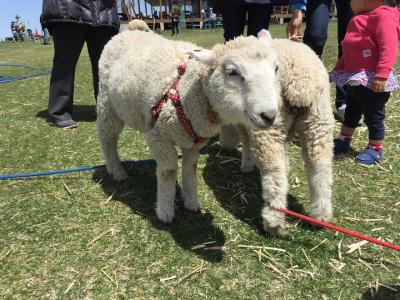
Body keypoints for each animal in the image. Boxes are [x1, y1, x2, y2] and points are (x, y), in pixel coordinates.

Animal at [97, 29, 280, 223]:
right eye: (232, 72)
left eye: (276, 68)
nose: (269, 116)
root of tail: (127, 31)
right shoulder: (158, 136)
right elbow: (169, 170)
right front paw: (165, 212)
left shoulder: (194, 142)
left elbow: (190, 169)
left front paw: (191, 201)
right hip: (107, 104)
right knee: (107, 139)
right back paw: (117, 171)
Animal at [220, 38, 332, 234]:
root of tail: (300, 82)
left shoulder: (247, 124)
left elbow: (246, 142)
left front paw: (246, 165)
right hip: (319, 122)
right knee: (321, 170)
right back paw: (320, 217)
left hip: (271, 127)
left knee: (275, 174)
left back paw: (272, 222)